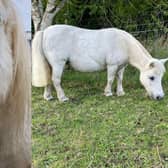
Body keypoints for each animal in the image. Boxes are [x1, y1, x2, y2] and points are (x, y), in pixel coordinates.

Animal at [32, 24, 167, 101]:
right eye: (151, 77)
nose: (160, 97)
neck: (124, 43)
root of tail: (45, 31)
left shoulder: (121, 66)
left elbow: (120, 79)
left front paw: (120, 92)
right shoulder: (112, 66)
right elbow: (111, 79)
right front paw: (108, 93)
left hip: (50, 65)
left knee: (48, 78)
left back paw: (48, 97)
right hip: (58, 64)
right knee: (55, 80)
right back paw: (62, 98)